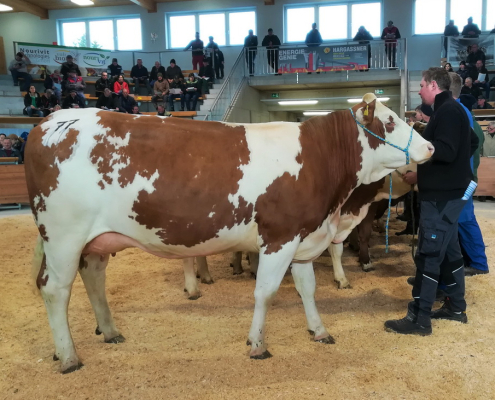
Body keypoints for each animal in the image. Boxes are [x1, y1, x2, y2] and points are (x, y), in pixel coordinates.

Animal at [27, 94, 434, 376]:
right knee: (54, 289)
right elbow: (265, 293)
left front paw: (319, 330)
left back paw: (109, 331)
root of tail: (49, 121)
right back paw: (68, 356)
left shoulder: (304, 237)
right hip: (63, 235)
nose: (430, 146)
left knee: (93, 277)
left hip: (94, 240)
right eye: (390, 121)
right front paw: (257, 344)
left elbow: (307, 289)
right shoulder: (279, 236)